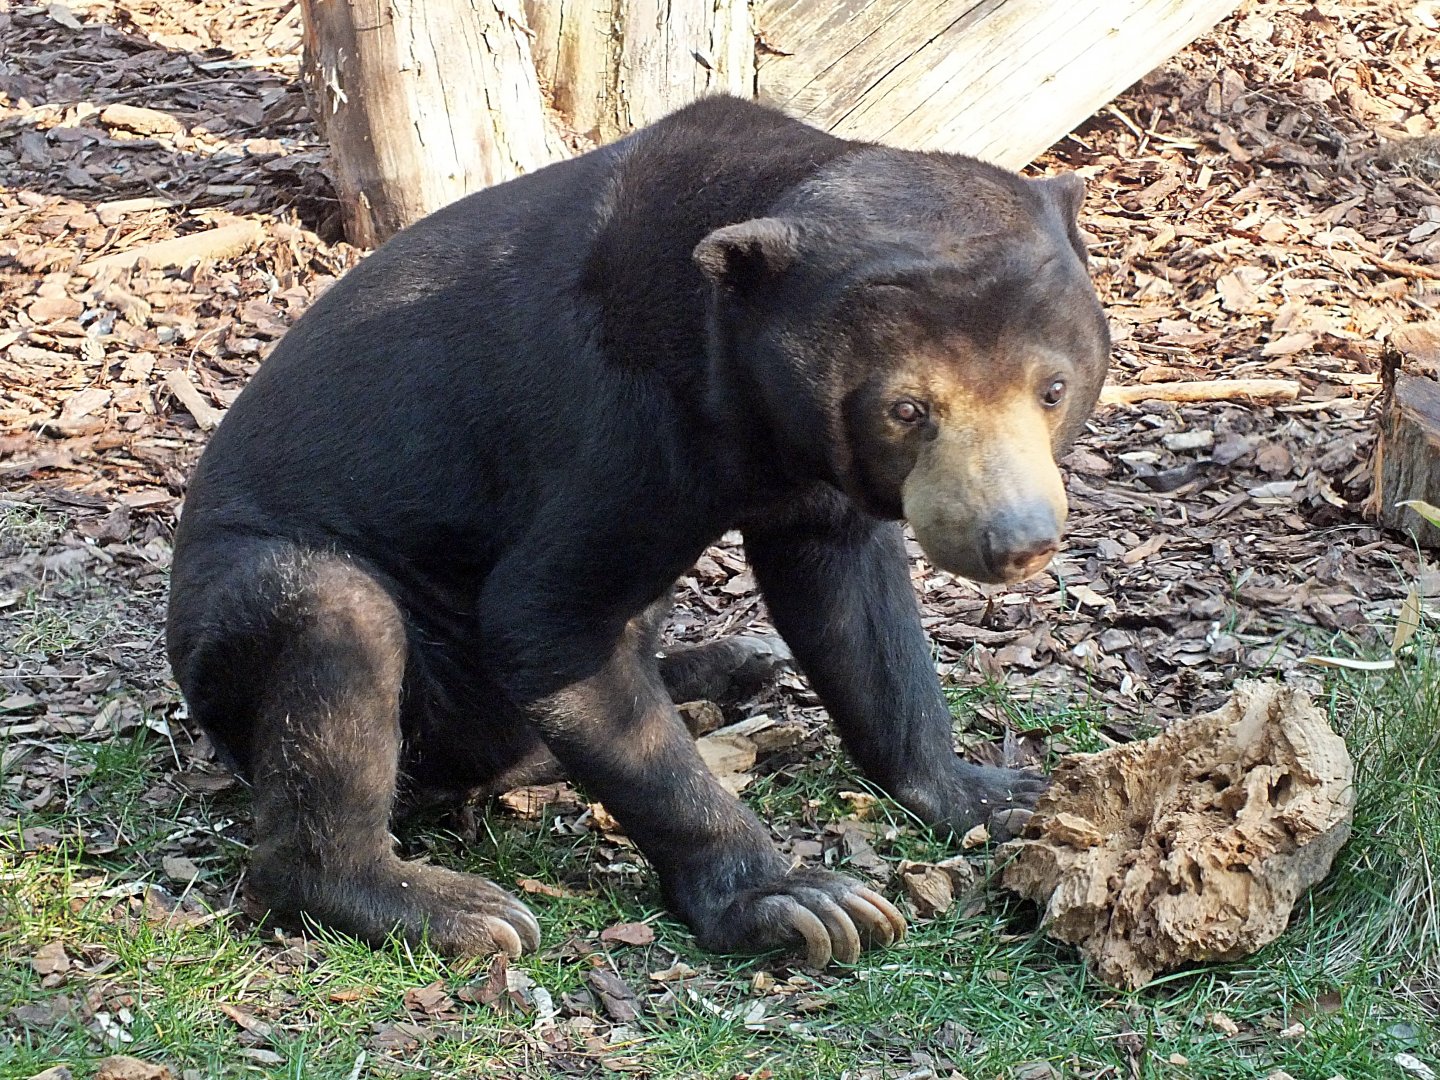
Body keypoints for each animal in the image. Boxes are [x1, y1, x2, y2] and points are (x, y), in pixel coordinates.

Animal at [166, 95, 1109, 967]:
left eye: (1053, 389)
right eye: (908, 409)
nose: (1015, 541)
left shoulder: (806, 474)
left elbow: (855, 611)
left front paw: (996, 792)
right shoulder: (619, 430)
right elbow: (550, 620)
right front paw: (802, 902)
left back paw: (733, 666)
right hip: (276, 635)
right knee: (338, 621)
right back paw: (439, 904)